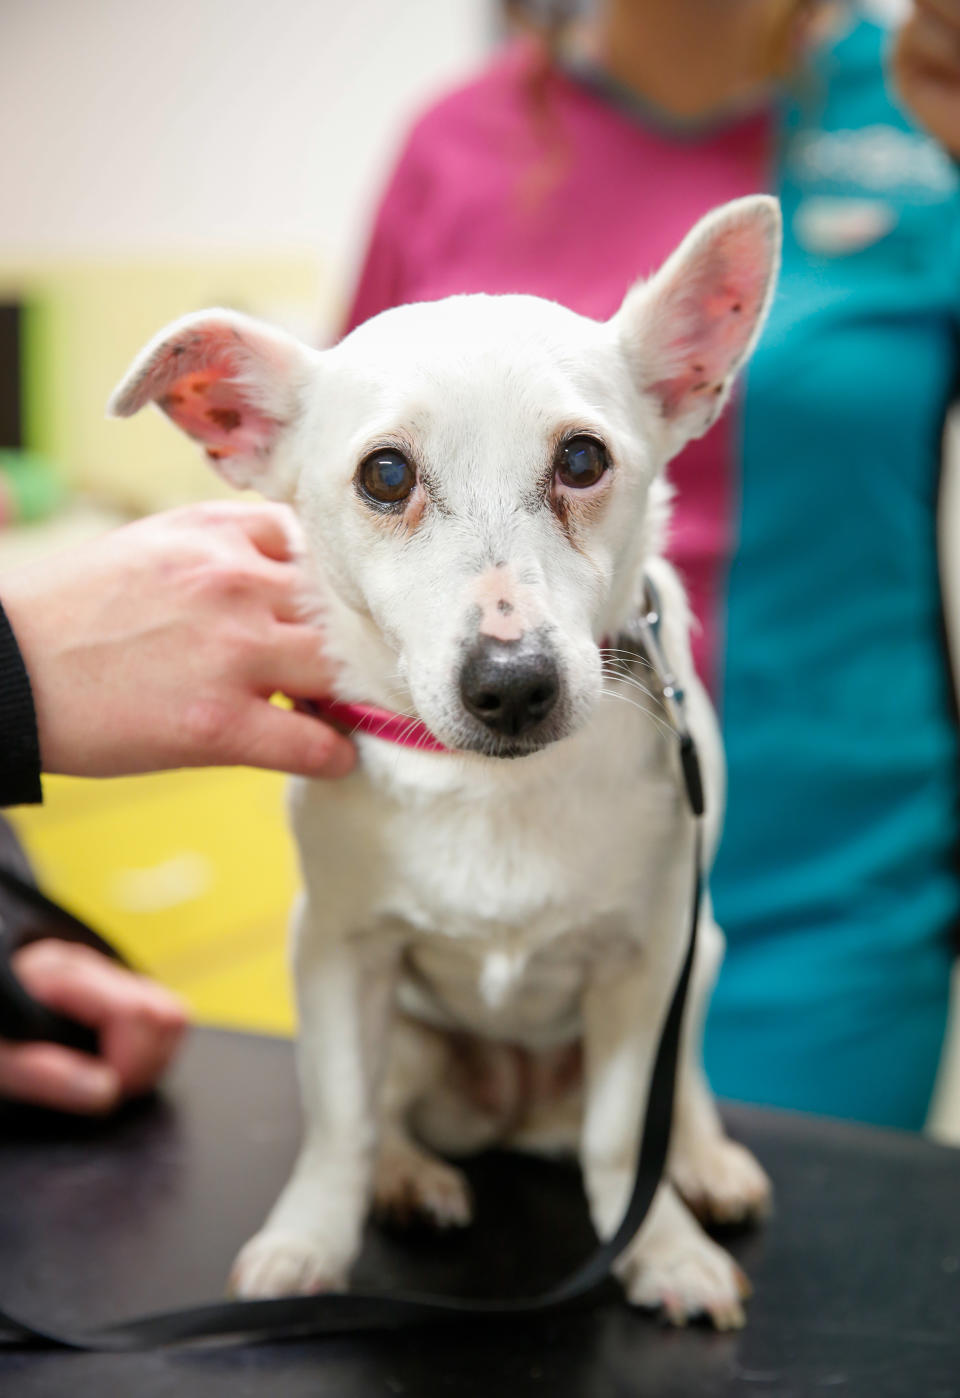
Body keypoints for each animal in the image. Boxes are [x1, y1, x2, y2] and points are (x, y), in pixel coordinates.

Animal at [111, 191, 782, 1325]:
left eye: (583, 461)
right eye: (385, 475)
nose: (512, 683)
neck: (493, 786)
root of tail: (511, 1116)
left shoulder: (646, 960)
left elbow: (621, 1138)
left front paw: (661, 1247)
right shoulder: (339, 952)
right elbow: (339, 1123)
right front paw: (311, 1238)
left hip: (702, 961)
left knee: (674, 1090)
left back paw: (700, 1160)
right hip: (412, 1032)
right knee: (389, 1111)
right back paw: (409, 1176)